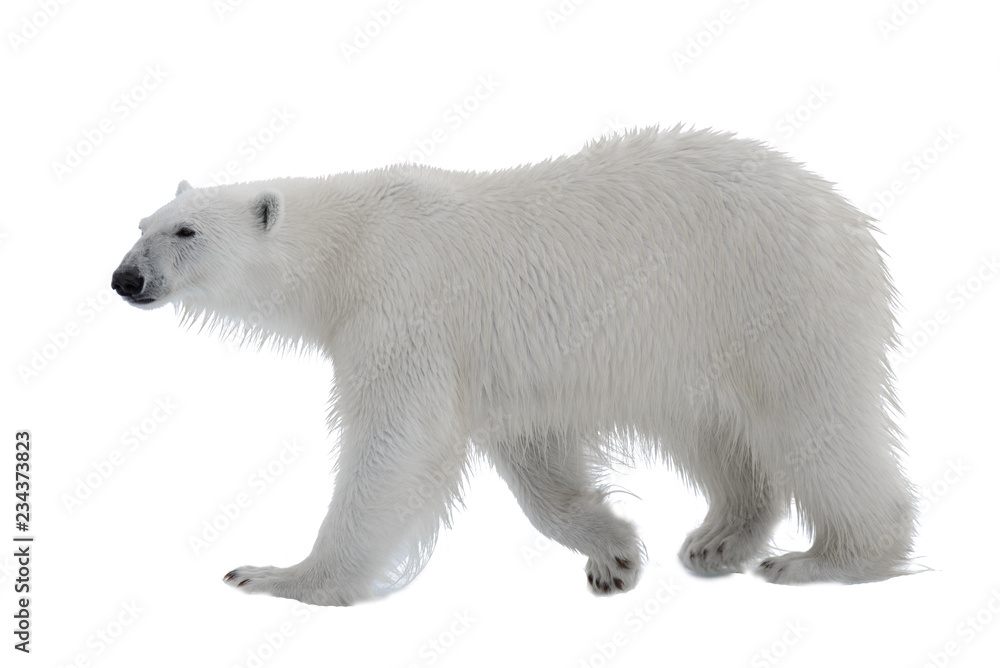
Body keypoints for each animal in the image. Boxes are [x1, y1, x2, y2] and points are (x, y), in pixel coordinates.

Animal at [111, 126, 917, 606]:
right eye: (142, 225)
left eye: (185, 232)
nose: (125, 279)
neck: (350, 246)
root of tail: (845, 212)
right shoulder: (502, 365)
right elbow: (536, 460)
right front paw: (612, 553)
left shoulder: (403, 311)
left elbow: (394, 446)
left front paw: (283, 576)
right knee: (716, 434)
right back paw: (718, 539)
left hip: (771, 298)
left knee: (816, 423)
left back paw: (832, 559)